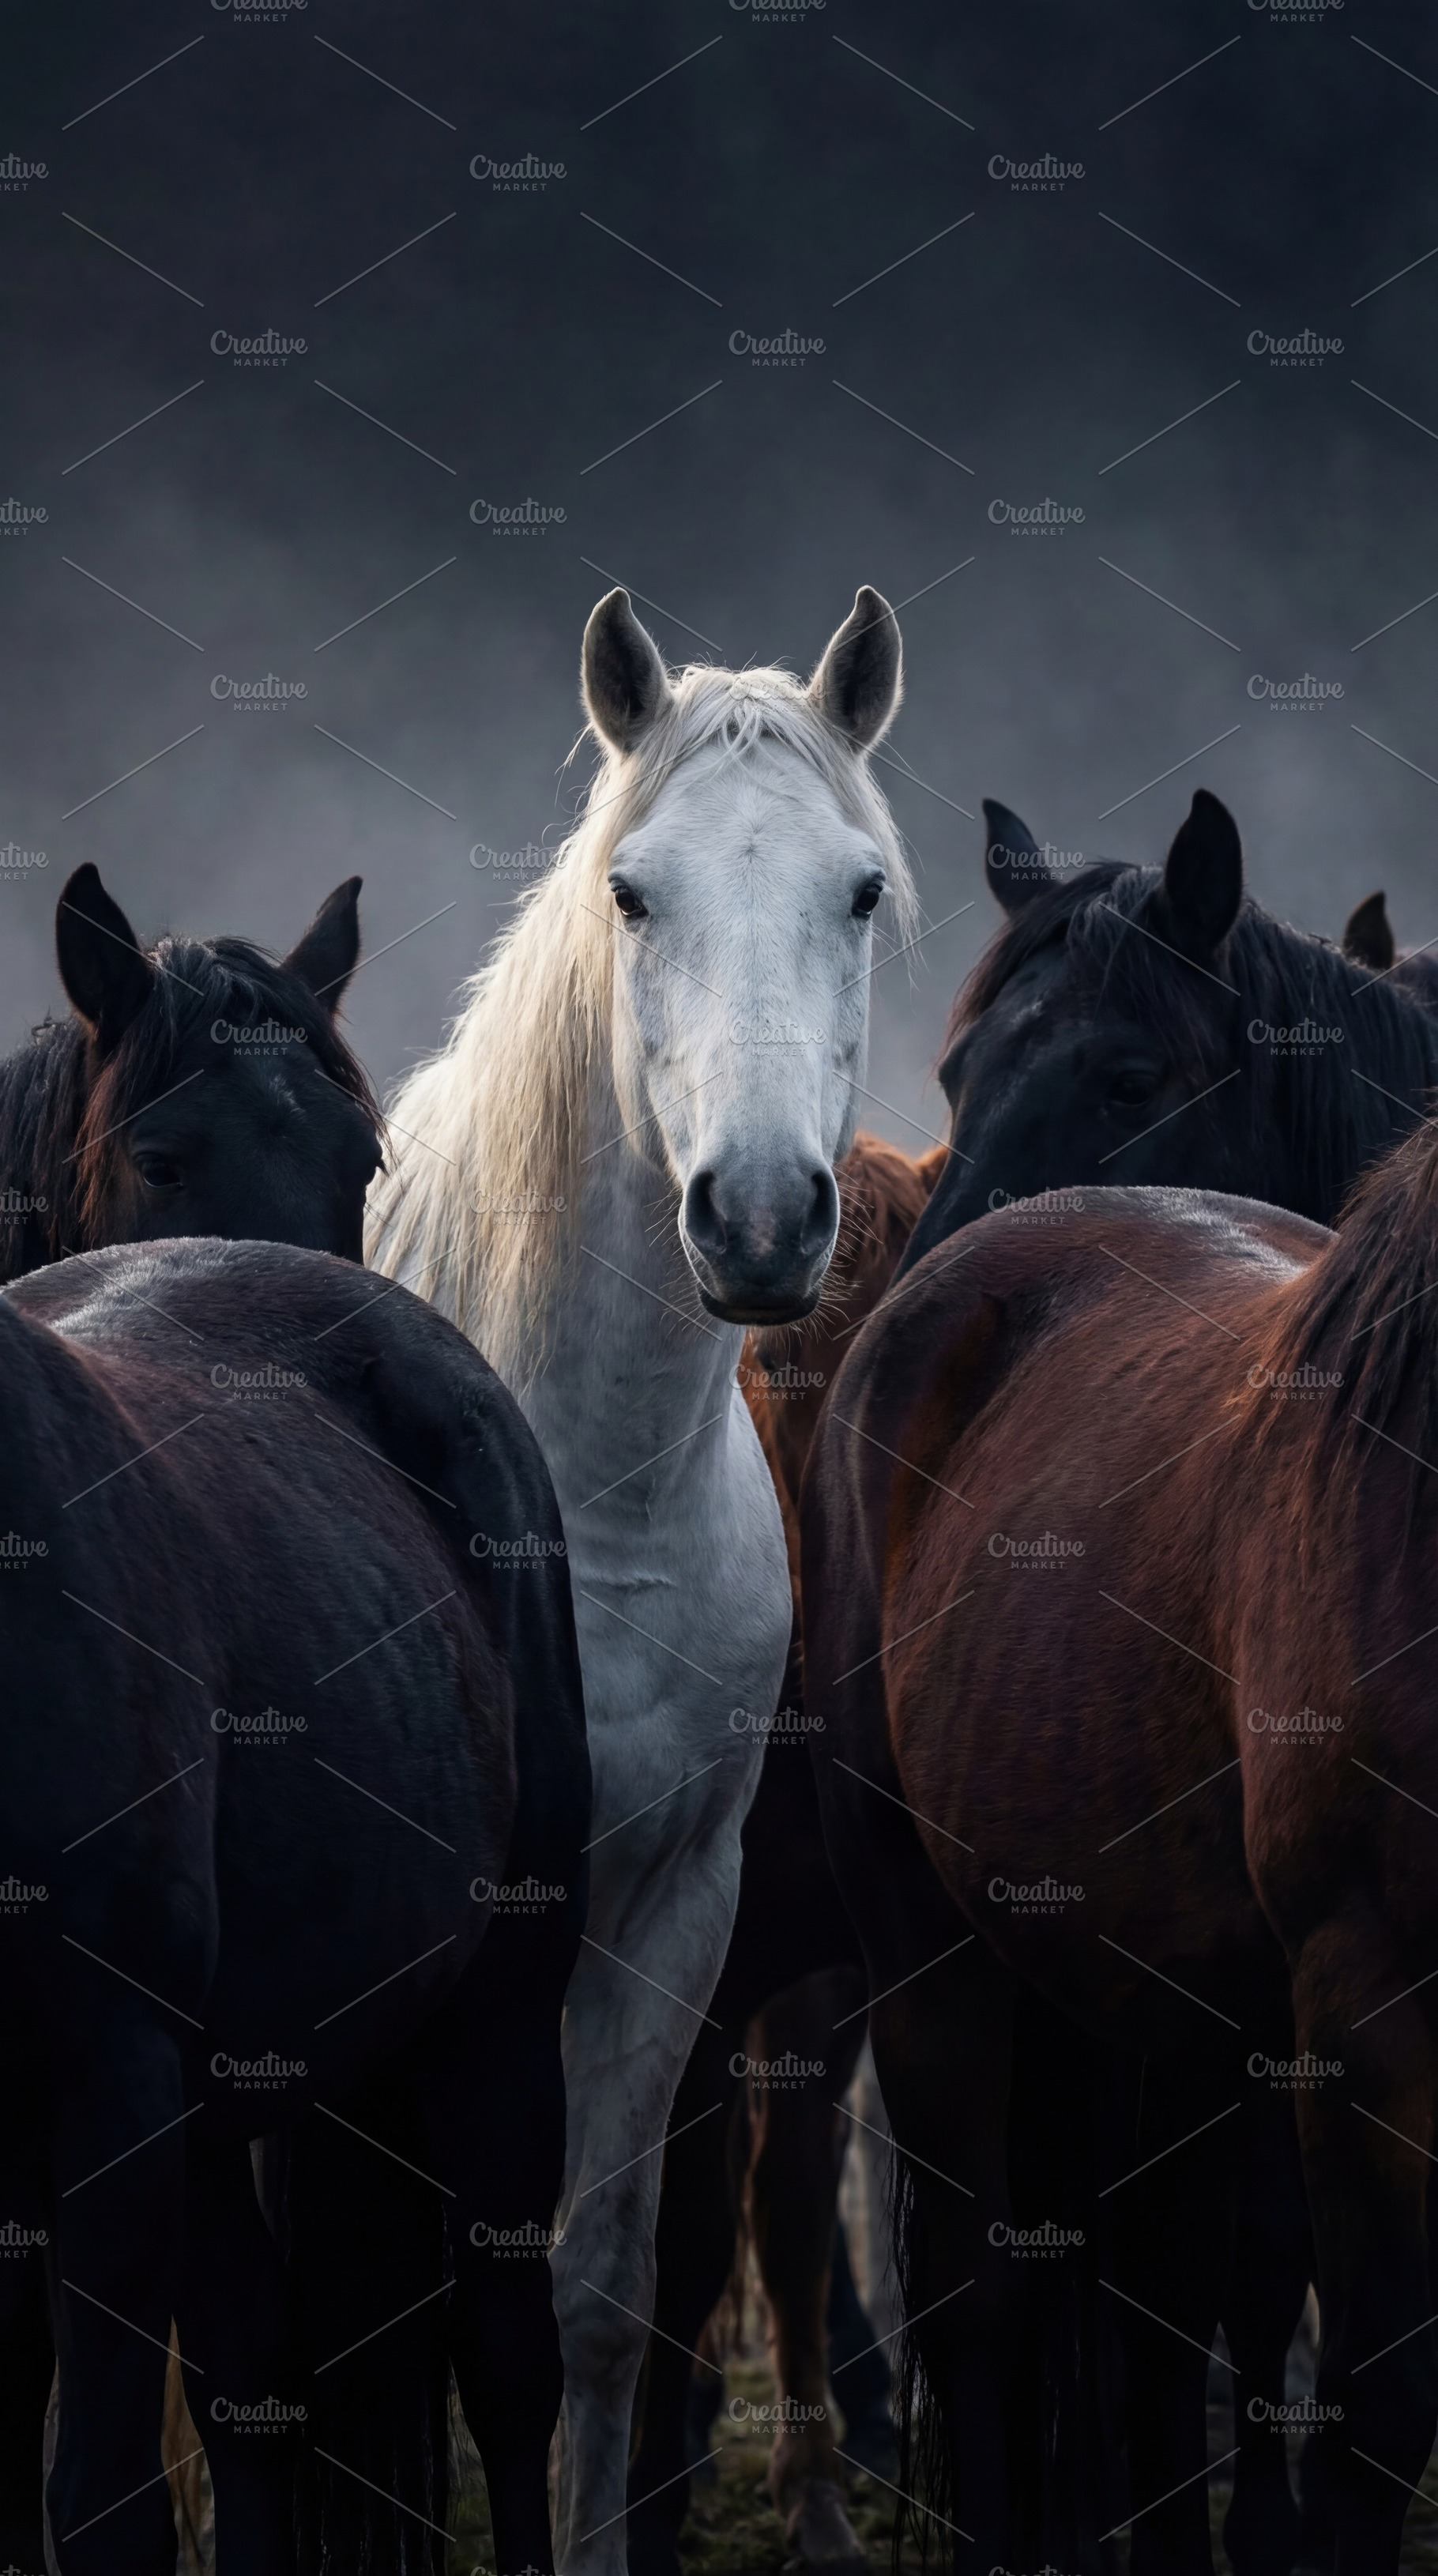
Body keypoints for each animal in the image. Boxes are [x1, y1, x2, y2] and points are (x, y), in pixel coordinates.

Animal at [0, 1233, 589, 2573]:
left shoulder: (108, 2093)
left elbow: (102, 2505)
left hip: (495, 2034)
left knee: (510, 2372)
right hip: (210, 2116)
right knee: (252, 2391)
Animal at [366, 585, 911, 2572]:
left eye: (858, 889)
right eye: (633, 892)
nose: (754, 1216)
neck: (584, 1501)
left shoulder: (675, 1908)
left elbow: (595, 2300)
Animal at [803, 1118, 1438, 2574]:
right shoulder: (1371, 2011)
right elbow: (1379, 2412)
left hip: (1179, 2022)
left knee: (1167, 2312)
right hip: (932, 1964)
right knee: (984, 2303)